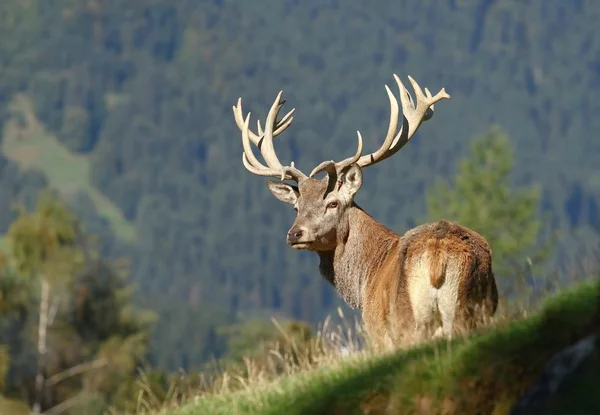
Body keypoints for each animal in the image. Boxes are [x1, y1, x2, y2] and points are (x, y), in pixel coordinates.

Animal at [232, 73, 500, 350]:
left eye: (333, 203)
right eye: (296, 206)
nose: (295, 234)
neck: (366, 279)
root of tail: (437, 256)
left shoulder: (378, 333)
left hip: (409, 324)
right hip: (473, 314)